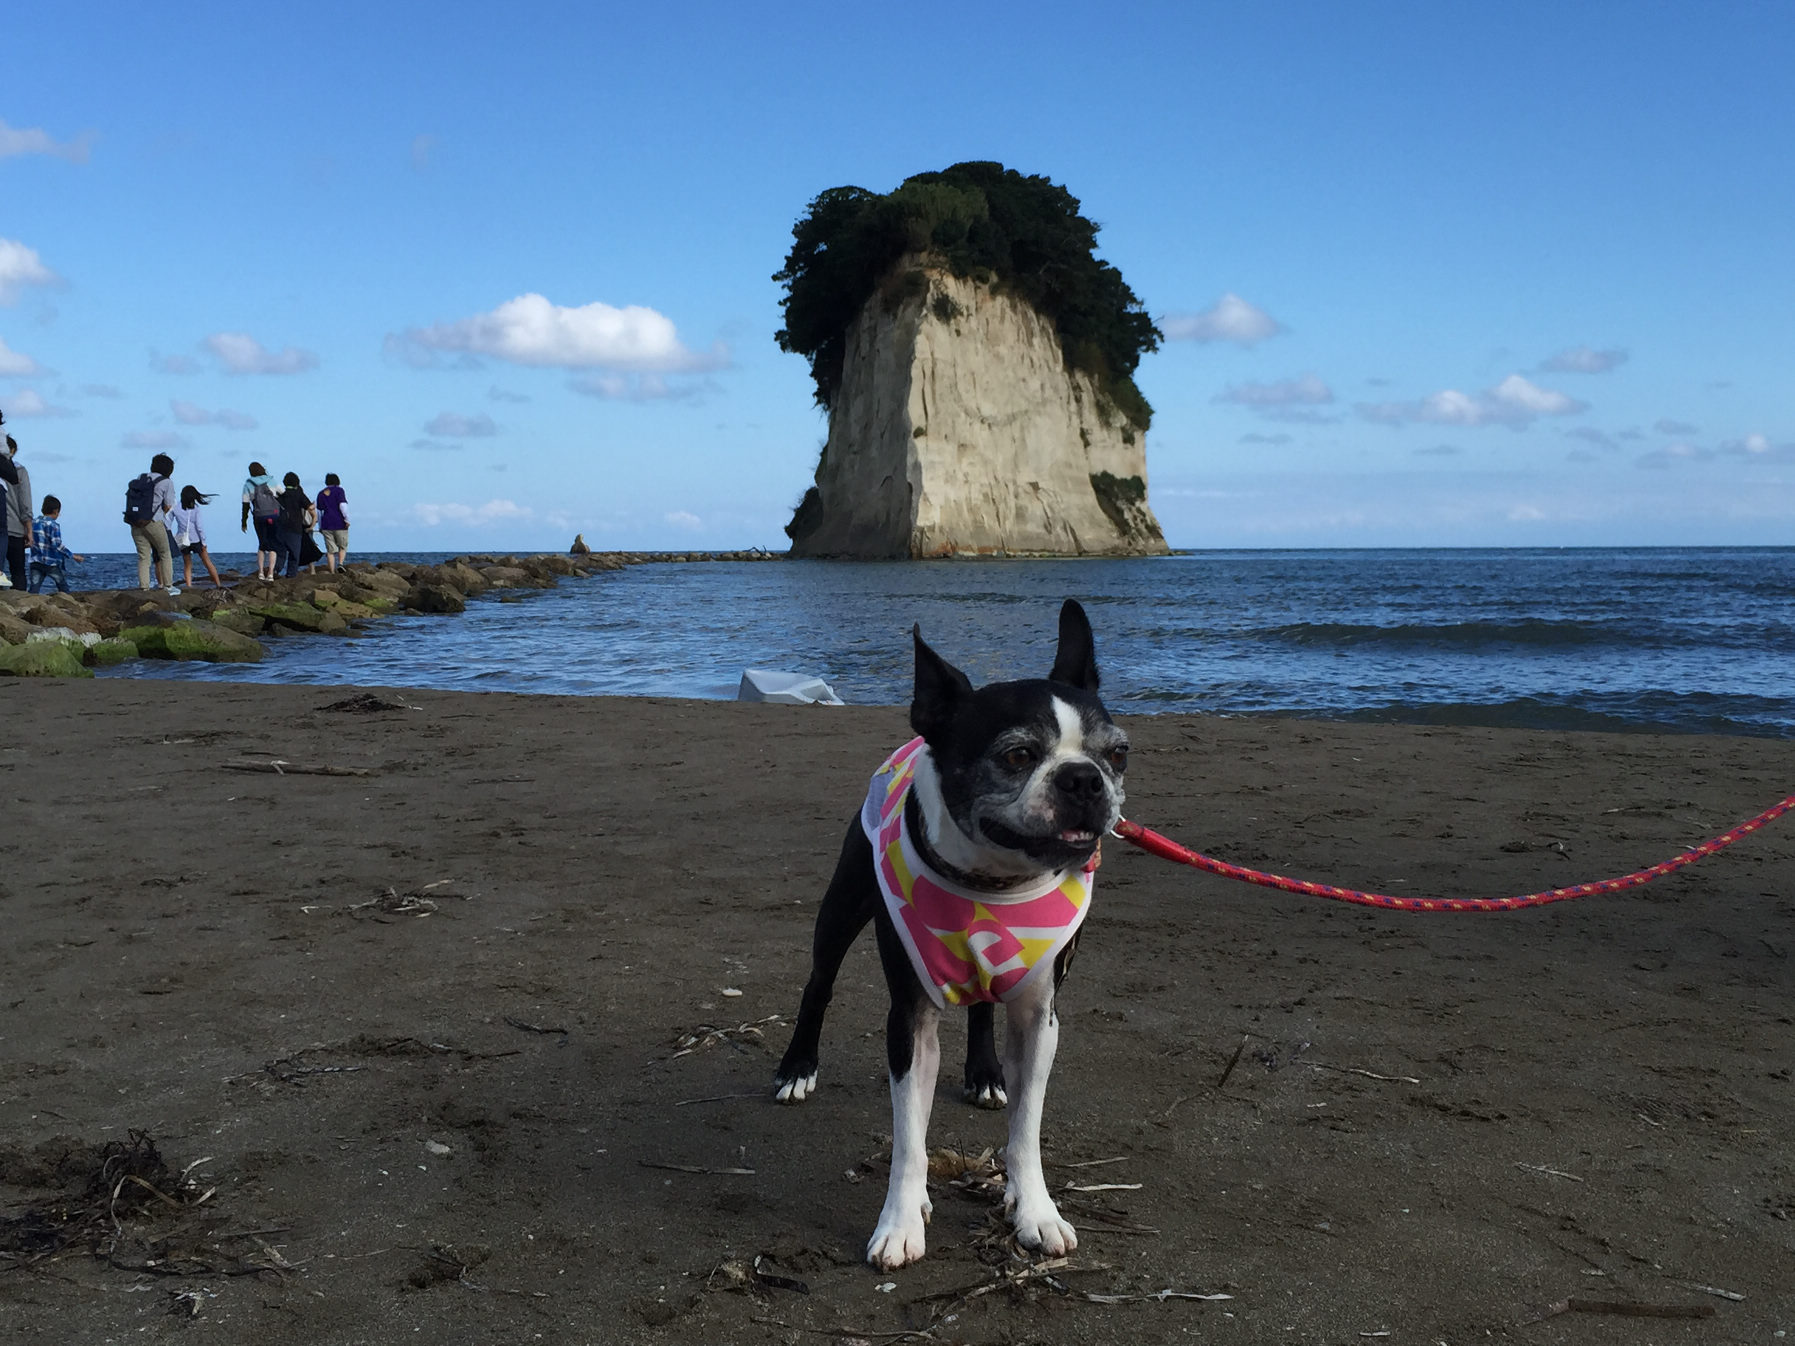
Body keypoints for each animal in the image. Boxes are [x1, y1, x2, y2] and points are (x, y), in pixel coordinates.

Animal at [771, 606, 1120, 1270]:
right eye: (1017, 756)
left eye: (1117, 754)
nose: (1086, 780)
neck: (994, 879)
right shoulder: (909, 1018)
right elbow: (910, 1135)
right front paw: (901, 1223)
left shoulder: (1040, 1017)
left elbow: (1027, 1127)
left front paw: (1035, 1210)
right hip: (841, 909)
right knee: (816, 985)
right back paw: (797, 1066)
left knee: (982, 1007)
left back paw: (985, 1072)